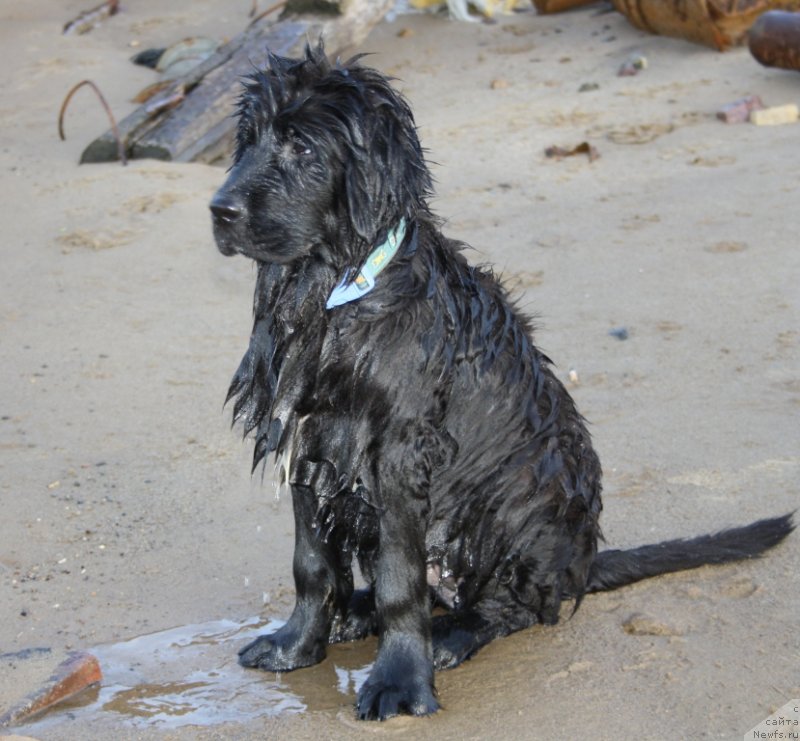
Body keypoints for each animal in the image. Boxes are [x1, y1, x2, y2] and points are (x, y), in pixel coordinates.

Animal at [209, 43, 796, 720]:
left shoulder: (398, 451)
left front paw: (400, 681)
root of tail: (579, 565)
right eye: (248, 141)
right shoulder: (308, 437)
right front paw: (297, 645)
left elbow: (401, 582)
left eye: (303, 147)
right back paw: (356, 614)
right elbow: (312, 564)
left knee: (511, 607)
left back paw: (449, 636)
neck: (334, 295)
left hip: (520, 501)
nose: (219, 211)